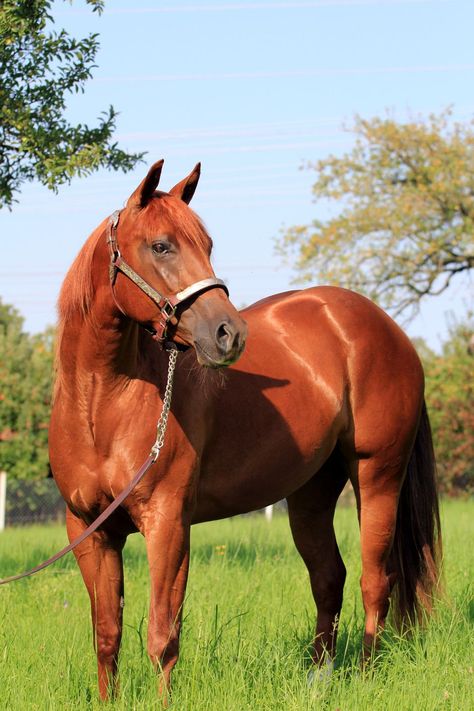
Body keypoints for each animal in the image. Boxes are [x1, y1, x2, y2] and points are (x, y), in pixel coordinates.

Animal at [49, 161, 440, 700]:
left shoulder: (168, 524)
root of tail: (387, 328)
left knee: (374, 581)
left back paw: (363, 678)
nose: (229, 334)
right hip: (311, 491)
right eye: (161, 246)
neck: (102, 405)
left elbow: (162, 636)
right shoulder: (90, 531)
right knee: (329, 578)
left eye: (207, 244)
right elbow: (107, 635)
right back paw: (319, 681)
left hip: (377, 475)